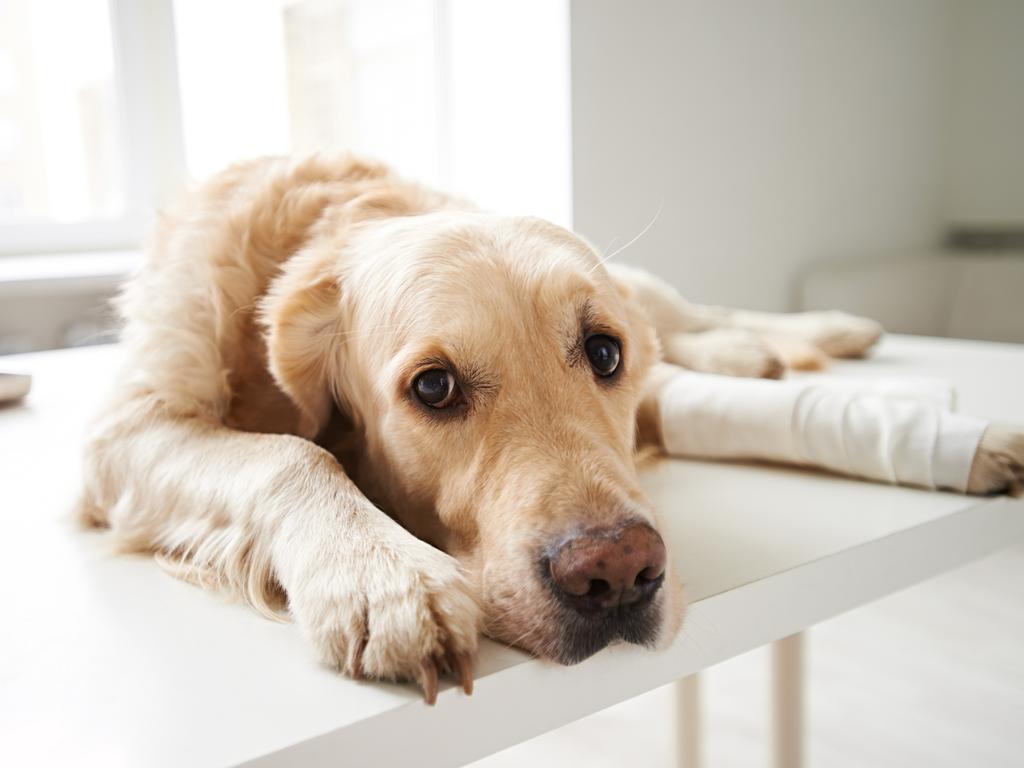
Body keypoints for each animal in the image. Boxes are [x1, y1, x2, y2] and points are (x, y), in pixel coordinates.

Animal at [79, 154, 1024, 704]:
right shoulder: (125, 433)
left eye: (603, 353)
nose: (619, 573)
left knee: (690, 315)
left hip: (648, 289)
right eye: (433, 386)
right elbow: (290, 452)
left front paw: (968, 440)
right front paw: (383, 577)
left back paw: (817, 331)